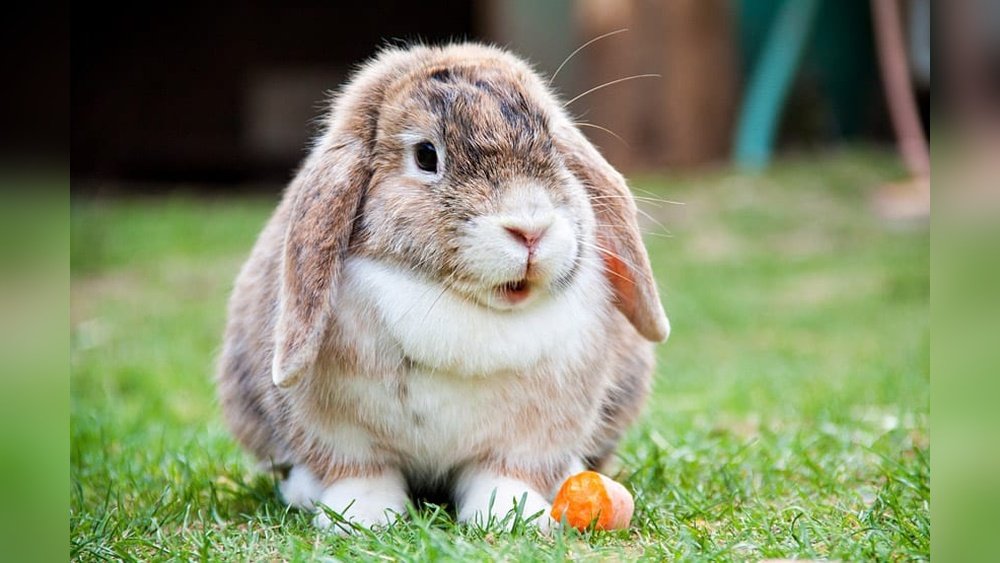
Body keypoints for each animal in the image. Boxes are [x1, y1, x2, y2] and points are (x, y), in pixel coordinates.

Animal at [216, 42, 669, 533]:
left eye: (551, 143)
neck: (462, 304)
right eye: (426, 156)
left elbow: (505, 474)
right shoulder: (340, 434)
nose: (530, 230)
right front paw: (362, 518)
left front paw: (512, 517)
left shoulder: (531, 436)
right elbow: (361, 473)